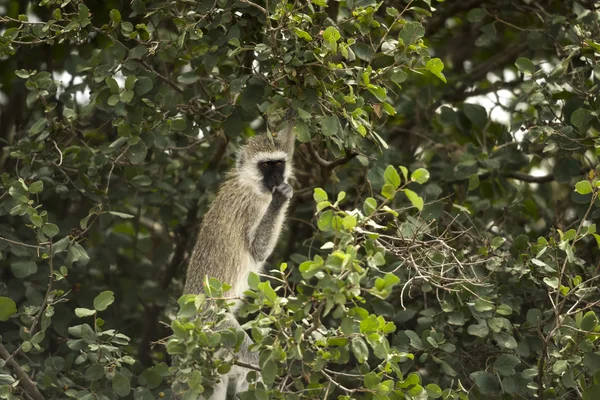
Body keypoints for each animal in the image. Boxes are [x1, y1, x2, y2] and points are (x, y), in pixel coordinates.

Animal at [183, 120, 296, 398]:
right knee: (254, 366)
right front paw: (280, 200)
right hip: (216, 326)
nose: (277, 179)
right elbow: (258, 250)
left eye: (278, 164)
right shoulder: (252, 206)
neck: (250, 184)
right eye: (266, 166)